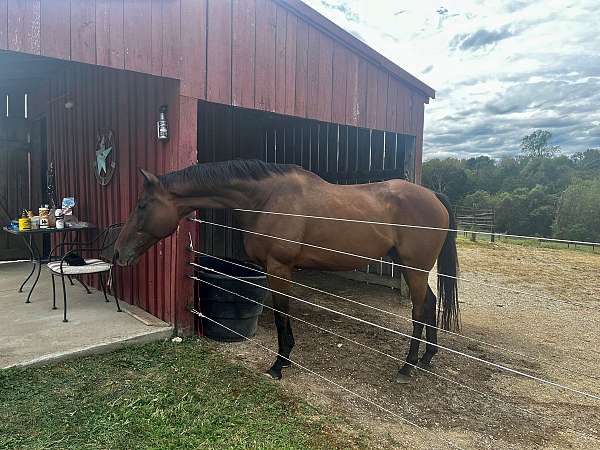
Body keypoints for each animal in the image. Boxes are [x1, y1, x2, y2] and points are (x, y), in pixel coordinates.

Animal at [116, 160, 460, 382]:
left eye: (142, 205)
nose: (118, 253)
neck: (266, 199)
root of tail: (434, 195)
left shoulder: (279, 267)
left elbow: (282, 312)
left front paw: (279, 364)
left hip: (414, 268)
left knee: (419, 310)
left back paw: (407, 367)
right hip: (409, 267)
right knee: (430, 304)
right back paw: (427, 359)